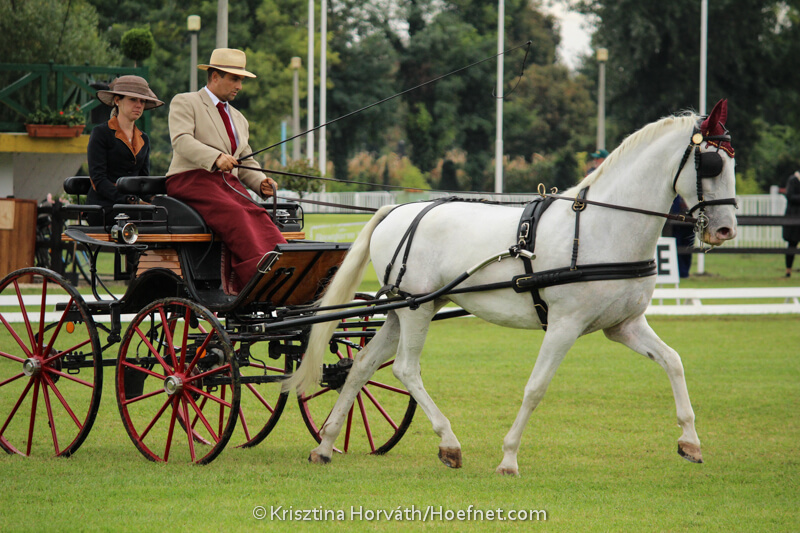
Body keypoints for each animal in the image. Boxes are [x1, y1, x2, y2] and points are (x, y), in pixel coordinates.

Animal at [288, 99, 738, 475]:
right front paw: (508, 458)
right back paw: (448, 443)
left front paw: (690, 441)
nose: (725, 230)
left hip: (405, 309)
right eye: (711, 164)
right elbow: (536, 388)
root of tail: (396, 210)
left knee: (362, 365)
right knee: (404, 368)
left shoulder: (623, 325)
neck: (600, 227)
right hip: (417, 309)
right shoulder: (564, 325)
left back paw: (325, 445)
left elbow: (673, 361)